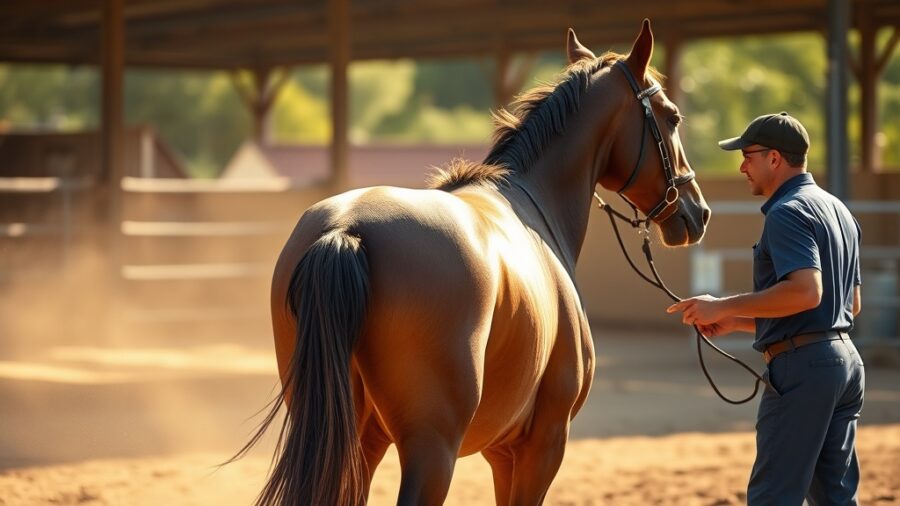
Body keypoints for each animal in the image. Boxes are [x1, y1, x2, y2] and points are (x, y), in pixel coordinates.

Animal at [244, 19, 710, 505]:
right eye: (672, 116)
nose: (697, 211)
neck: (533, 202)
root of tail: (346, 230)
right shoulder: (542, 443)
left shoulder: (499, 453)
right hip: (433, 448)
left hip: (356, 440)